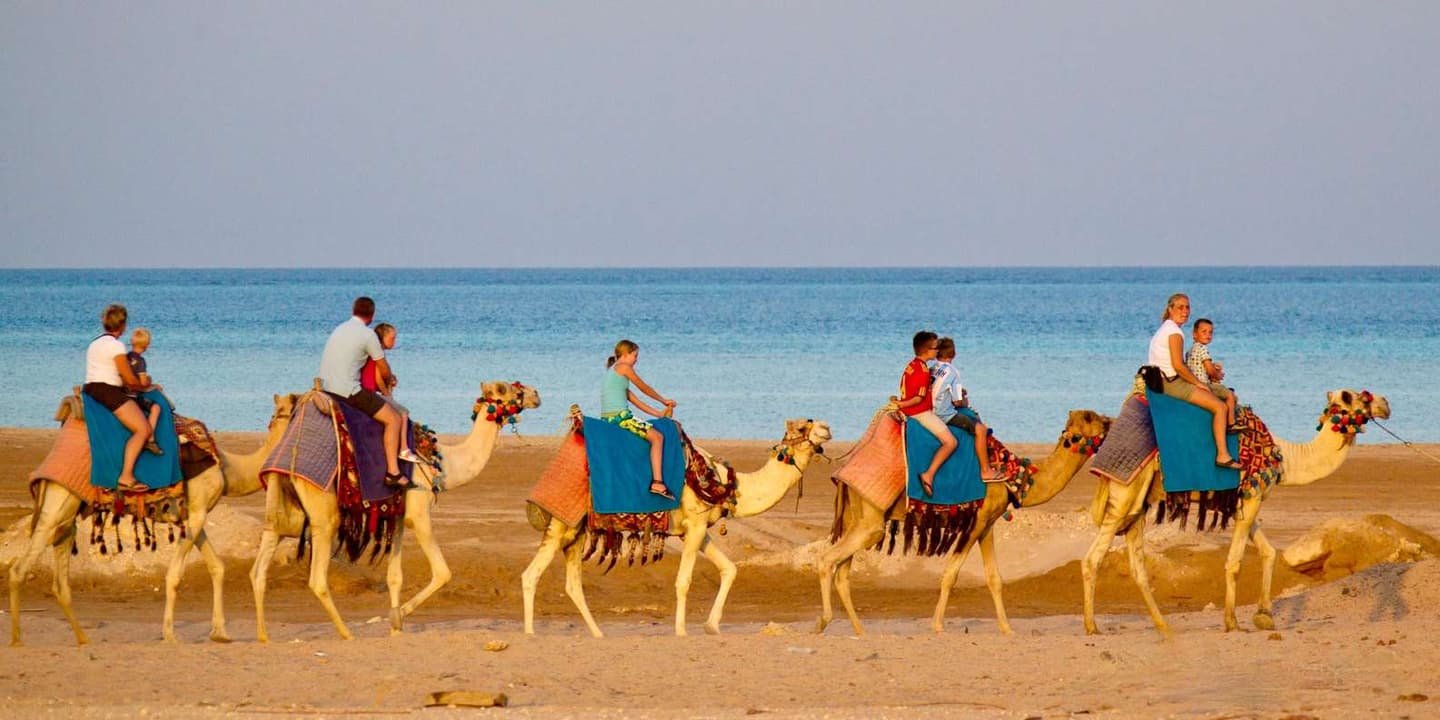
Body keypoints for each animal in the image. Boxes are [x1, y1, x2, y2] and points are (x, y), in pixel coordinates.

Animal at [8, 392, 296, 647]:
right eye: (293, 404)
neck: (227, 468)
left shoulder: (193, 514)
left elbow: (217, 567)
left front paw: (220, 633)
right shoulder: (198, 511)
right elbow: (175, 575)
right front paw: (170, 635)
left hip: (68, 509)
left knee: (59, 572)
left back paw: (82, 639)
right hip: (60, 498)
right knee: (21, 565)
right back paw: (17, 639)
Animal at [249, 380, 541, 642]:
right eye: (509, 389)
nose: (536, 395)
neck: (441, 461)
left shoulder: (397, 515)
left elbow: (394, 577)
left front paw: (395, 629)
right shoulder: (418, 512)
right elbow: (442, 572)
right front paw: (397, 618)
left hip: (281, 507)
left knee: (259, 568)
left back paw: (264, 636)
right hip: (323, 512)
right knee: (318, 579)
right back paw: (347, 633)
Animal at [521, 418, 833, 637]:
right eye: (804, 424)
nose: (827, 428)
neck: (723, 483)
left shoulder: (696, 528)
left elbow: (729, 568)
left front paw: (711, 626)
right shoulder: (695, 524)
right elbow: (684, 580)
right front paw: (682, 630)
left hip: (576, 532)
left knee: (572, 584)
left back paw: (598, 633)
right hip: (561, 526)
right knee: (531, 575)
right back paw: (530, 632)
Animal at [816, 409, 1112, 636]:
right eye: (1091, 417)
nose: (1110, 420)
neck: (1013, 477)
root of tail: (843, 472)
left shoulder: (988, 524)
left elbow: (994, 578)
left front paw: (1007, 629)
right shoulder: (976, 521)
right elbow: (951, 574)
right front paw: (937, 625)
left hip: (858, 517)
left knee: (842, 573)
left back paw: (860, 630)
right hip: (871, 519)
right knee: (827, 559)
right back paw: (823, 622)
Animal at [1081, 388, 1391, 636]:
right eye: (1360, 396)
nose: (1386, 404)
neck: (1285, 456)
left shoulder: (1247, 498)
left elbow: (1268, 552)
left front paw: (1264, 615)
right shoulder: (1252, 493)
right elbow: (1234, 562)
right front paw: (1232, 621)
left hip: (1138, 504)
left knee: (1138, 567)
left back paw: (1163, 625)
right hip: (1126, 494)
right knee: (1092, 558)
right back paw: (1092, 626)